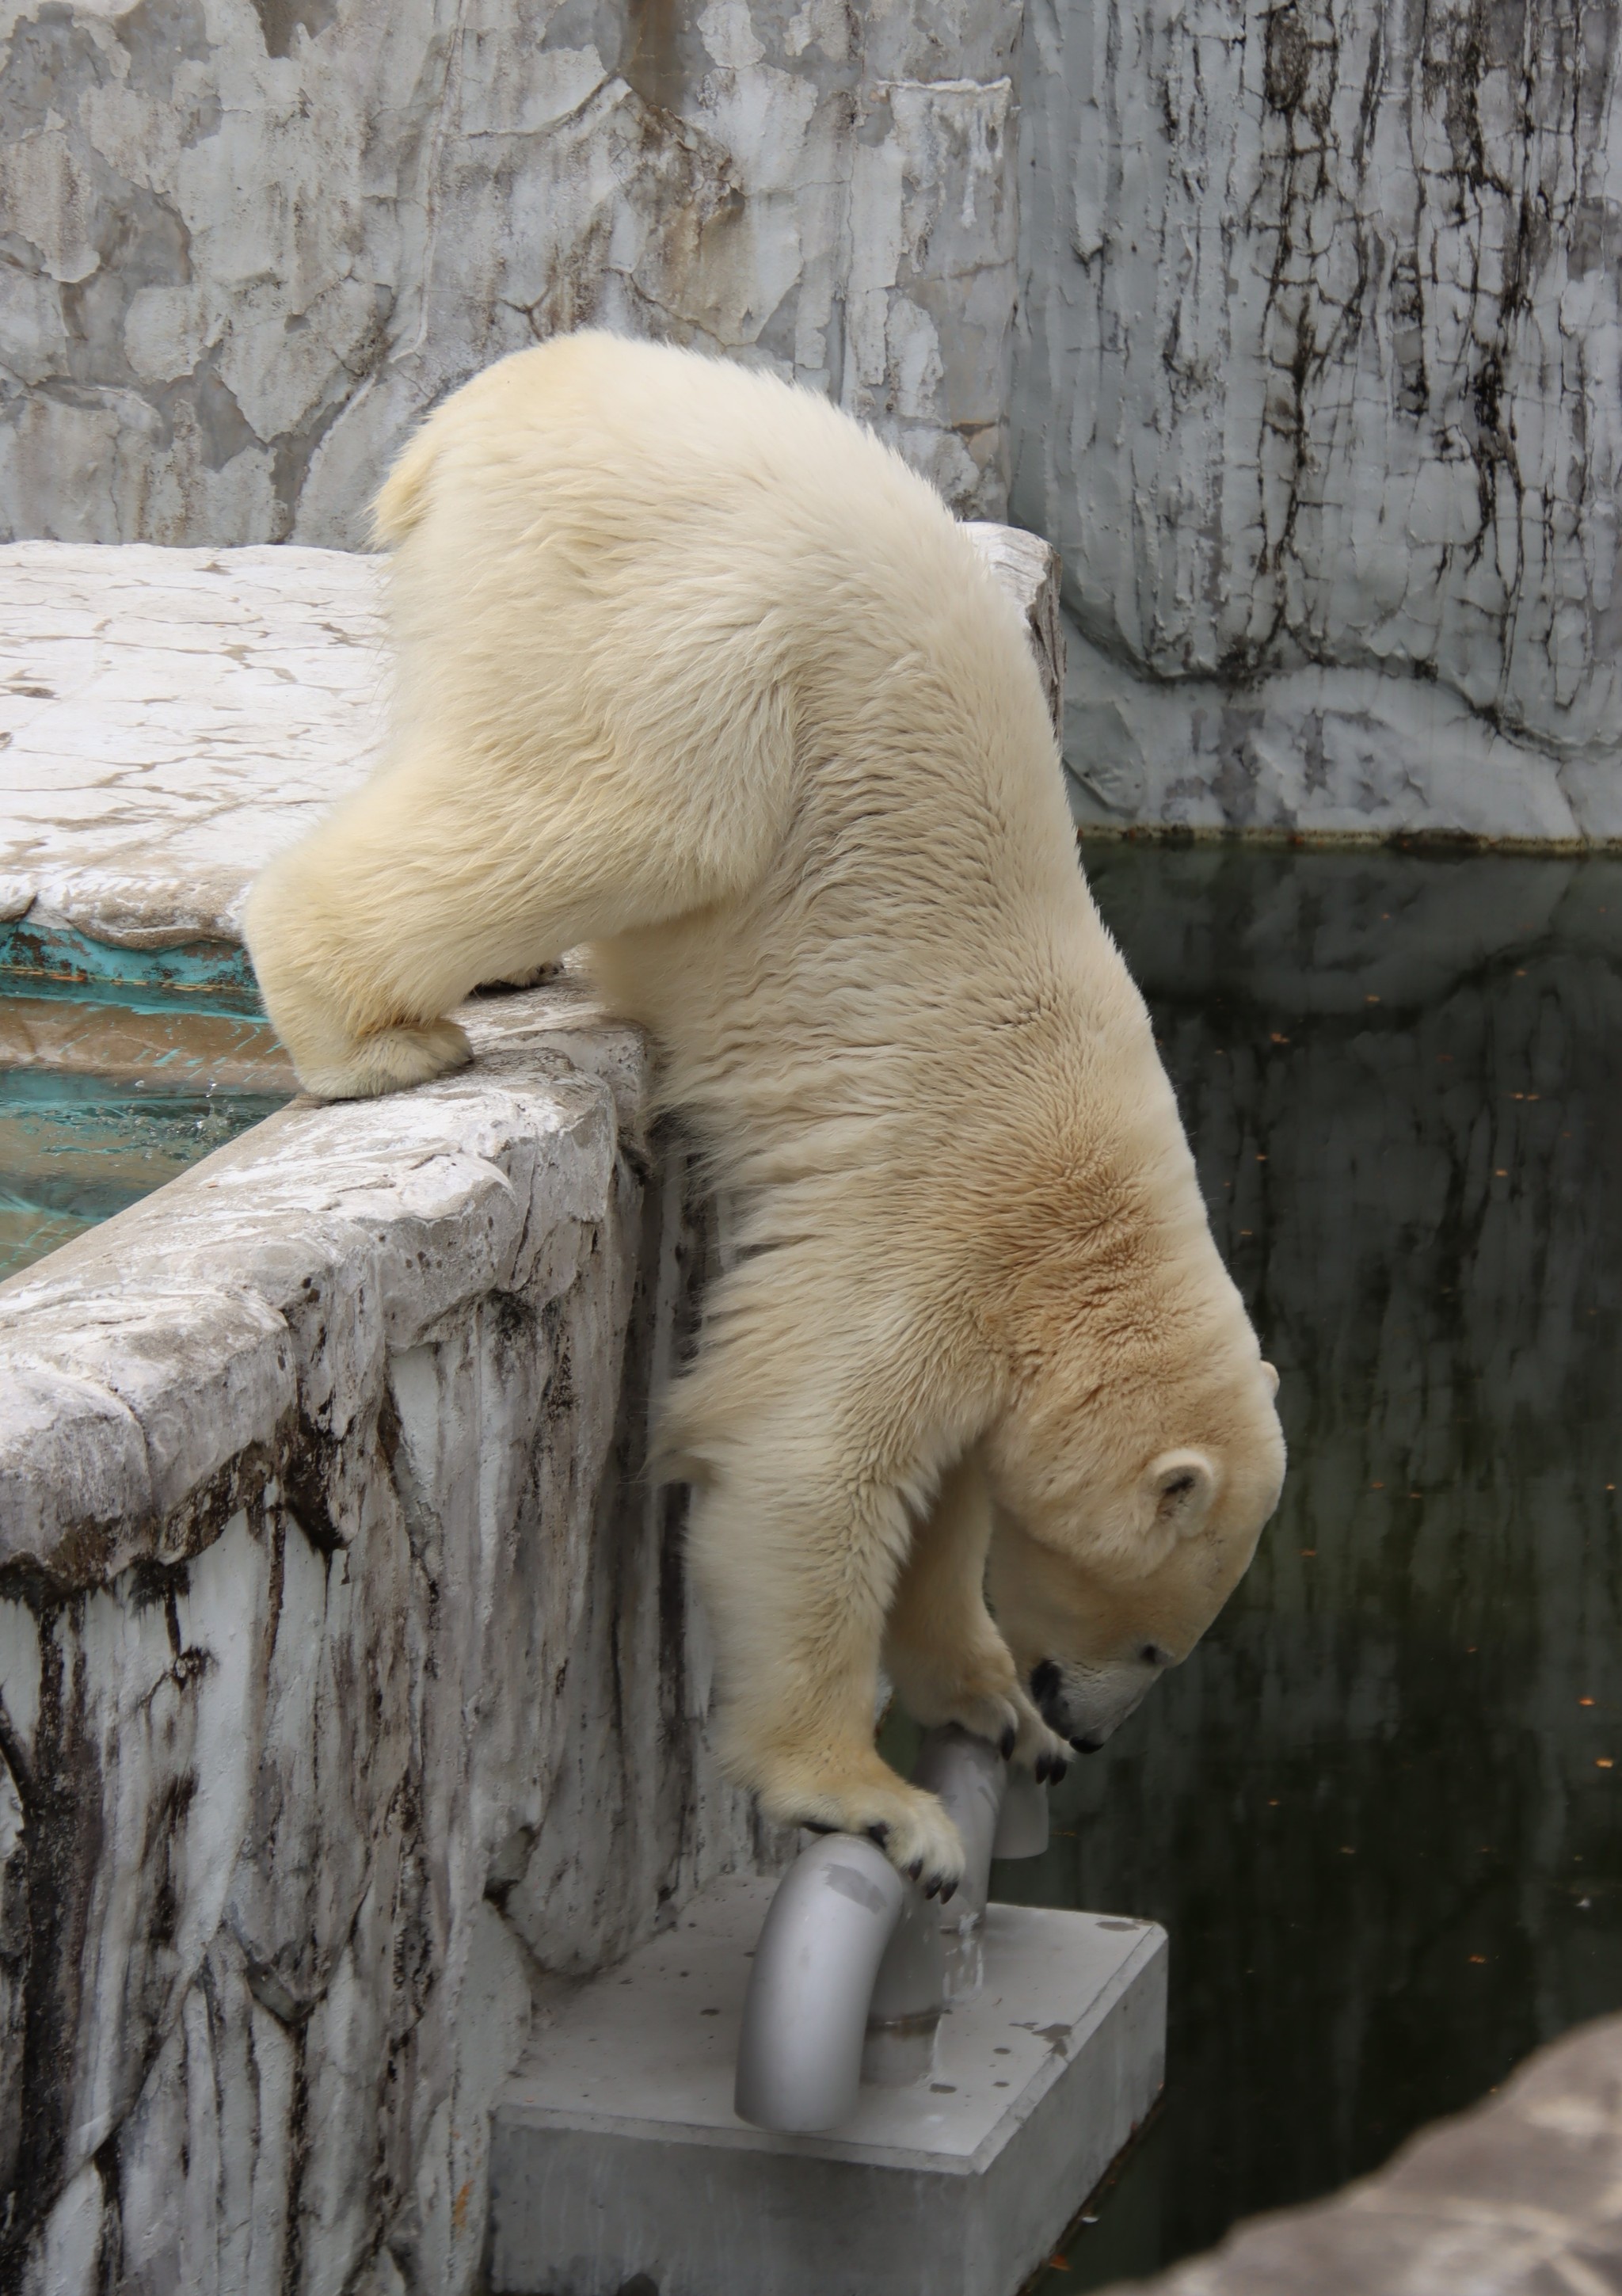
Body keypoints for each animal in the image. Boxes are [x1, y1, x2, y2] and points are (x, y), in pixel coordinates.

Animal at [243, 333, 1277, 1891]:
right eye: (1159, 1638)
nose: (1090, 1730)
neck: (1090, 1233)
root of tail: (507, 394)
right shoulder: (945, 1212)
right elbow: (803, 1457)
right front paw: (877, 1800)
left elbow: (943, 1489)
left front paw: (985, 1699)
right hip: (691, 633)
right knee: (638, 814)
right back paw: (376, 1033)